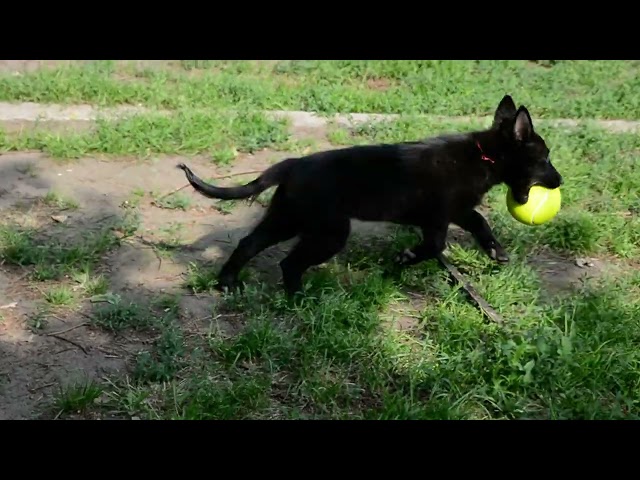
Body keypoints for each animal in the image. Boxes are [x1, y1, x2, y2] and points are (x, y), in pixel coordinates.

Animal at [175, 94, 560, 296]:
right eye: (544, 158)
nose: (559, 181)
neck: (484, 156)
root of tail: (292, 164)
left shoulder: (458, 210)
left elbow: (480, 222)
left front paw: (496, 251)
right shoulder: (437, 217)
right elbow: (435, 246)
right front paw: (406, 257)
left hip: (288, 217)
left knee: (250, 244)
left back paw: (230, 283)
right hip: (327, 231)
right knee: (287, 261)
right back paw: (299, 297)